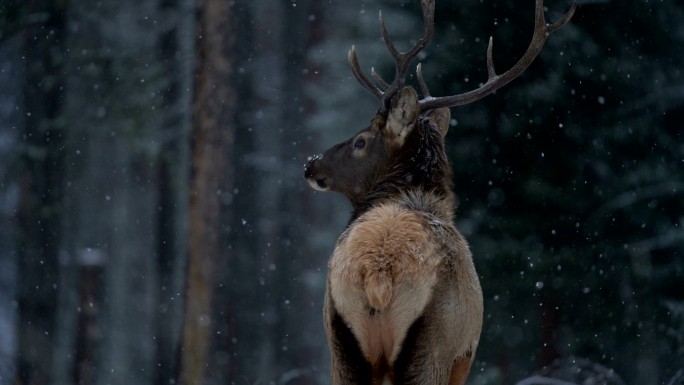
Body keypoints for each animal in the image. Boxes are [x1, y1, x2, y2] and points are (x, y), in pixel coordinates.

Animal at [302, 1, 576, 382]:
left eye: (360, 141)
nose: (310, 165)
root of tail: (378, 275)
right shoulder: (464, 356)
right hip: (435, 343)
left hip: (339, 338)